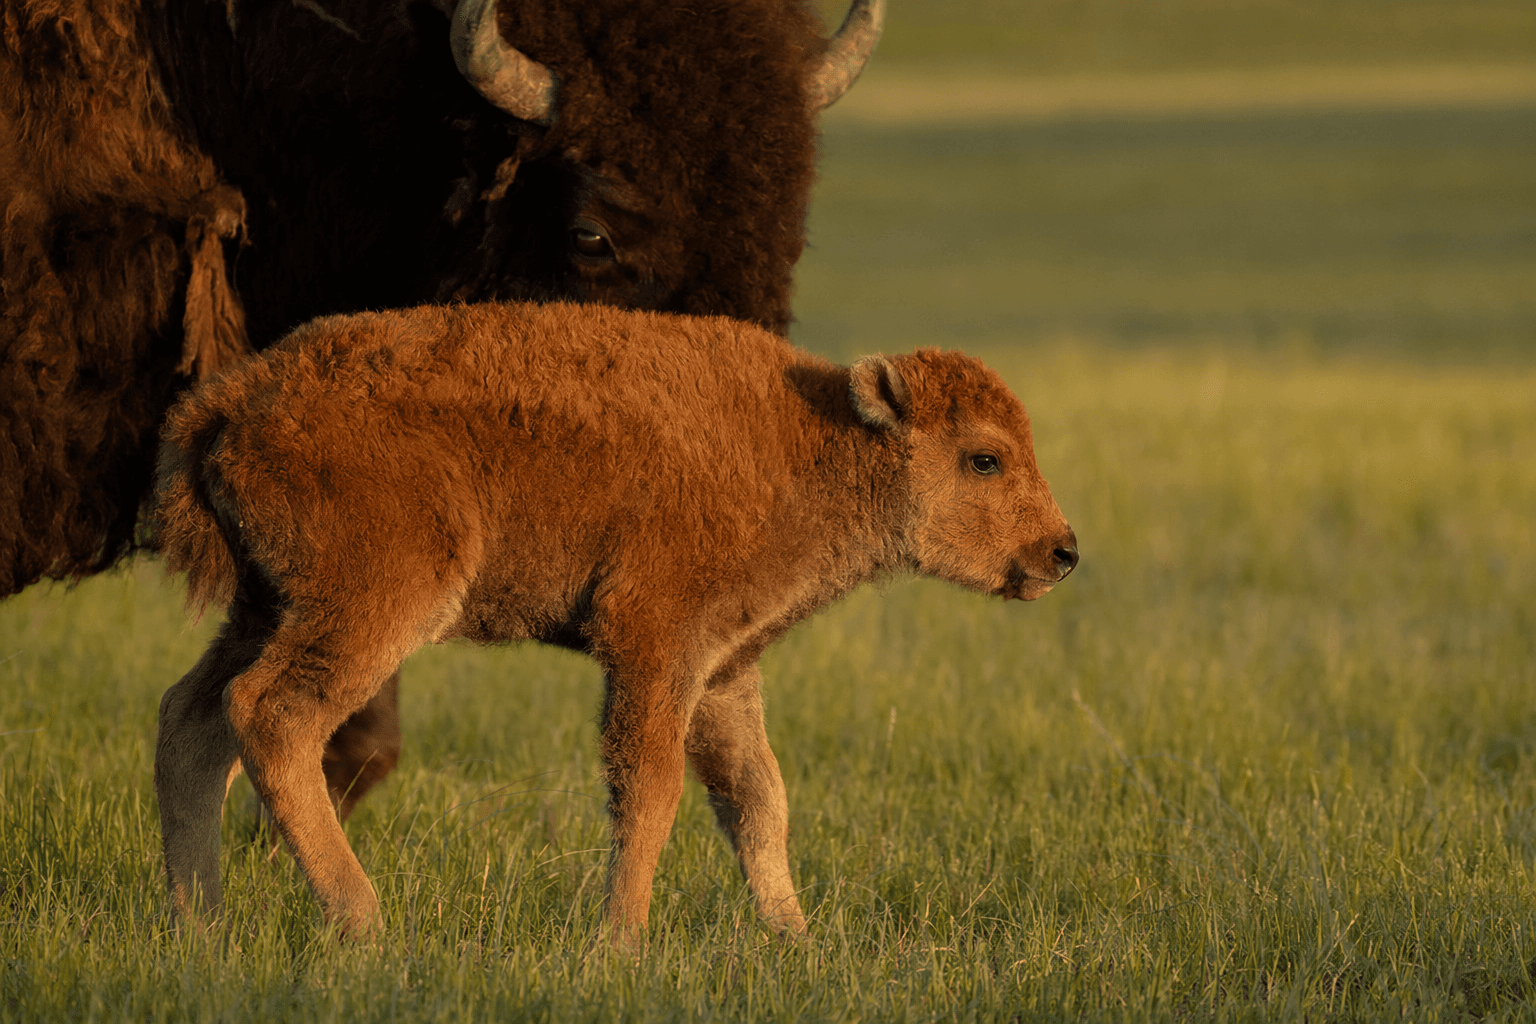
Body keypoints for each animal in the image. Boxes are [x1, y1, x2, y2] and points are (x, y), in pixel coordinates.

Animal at [152, 300, 1080, 943]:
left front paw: (797, 940)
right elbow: (653, 789)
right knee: (271, 714)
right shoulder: (655, 644)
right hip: (371, 602)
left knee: (192, 718)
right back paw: (363, 923)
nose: (1062, 551)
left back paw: (202, 927)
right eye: (985, 457)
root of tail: (233, 400)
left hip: (264, 606)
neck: (813, 442)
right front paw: (619, 944)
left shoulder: (723, 668)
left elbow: (758, 796)